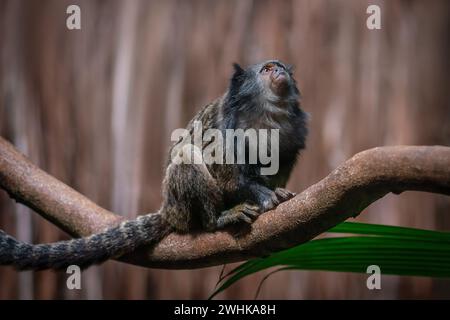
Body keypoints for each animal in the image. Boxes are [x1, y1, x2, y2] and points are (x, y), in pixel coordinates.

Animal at [0, 60, 308, 270]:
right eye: (267, 69)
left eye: (281, 67)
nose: (279, 72)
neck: (266, 119)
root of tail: (168, 209)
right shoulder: (227, 131)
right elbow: (226, 174)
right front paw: (264, 196)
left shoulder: (292, 138)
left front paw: (274, 191)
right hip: (181, 204)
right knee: (187, 159)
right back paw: (218, 219)